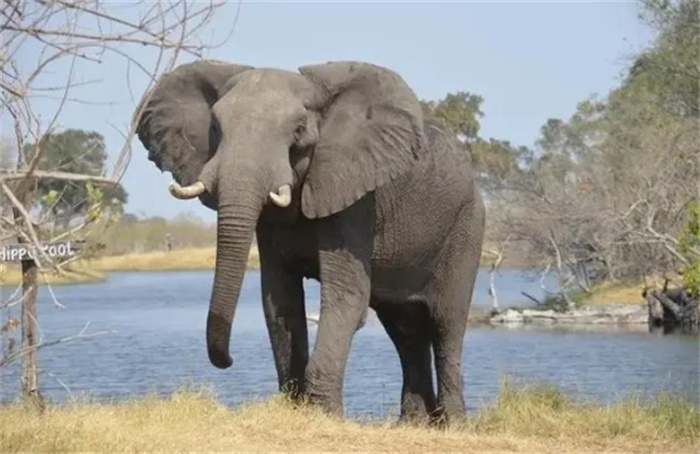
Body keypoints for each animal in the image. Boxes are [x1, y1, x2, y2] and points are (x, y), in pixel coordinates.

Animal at [133, 58, 486, 424]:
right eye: (215, 128)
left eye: (298, 131)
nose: (228, 361)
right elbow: (279, 300)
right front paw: (296, 407)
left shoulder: (354, 195)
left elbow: (347, 297)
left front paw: (325, 415)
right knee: (405, 329)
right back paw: (414, 424)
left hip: (467, 225)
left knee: (446, 323)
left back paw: (453, 425)